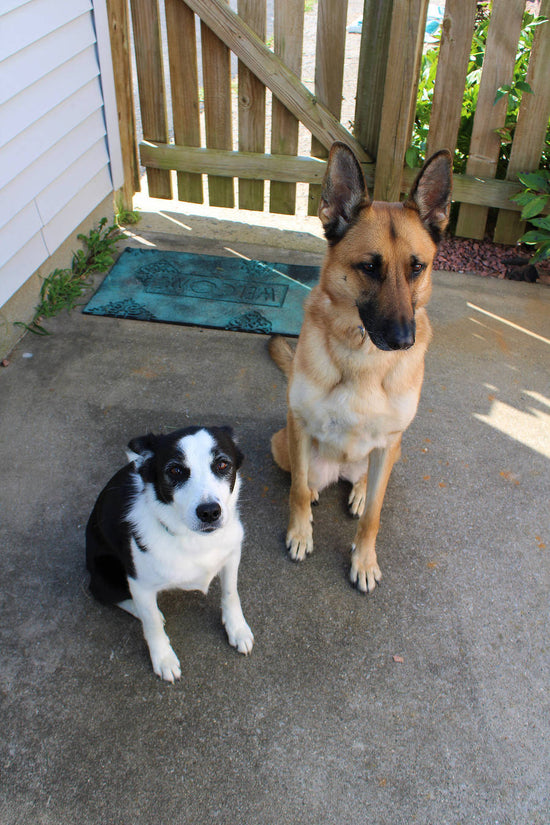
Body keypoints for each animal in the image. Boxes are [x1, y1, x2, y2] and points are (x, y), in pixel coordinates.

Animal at [86, 424, 254, 684]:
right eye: (175, 470)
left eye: (222, 464)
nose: (209, 512)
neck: (194, 540)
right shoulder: (140, 584)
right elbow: (153, 624)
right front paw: (163, 658)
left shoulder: (231, 554)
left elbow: (230, 593)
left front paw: (237, 629)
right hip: (106, 575)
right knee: (104, 594)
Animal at [268, 140, 452, 592]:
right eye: (369, 267)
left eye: (417, 267)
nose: (404, 341)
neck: (363, 360)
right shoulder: (298, 425)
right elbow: (297, 491)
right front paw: (300, 533)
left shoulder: (388, 444)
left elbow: (373, 516)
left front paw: (364, 561)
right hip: (282, 442)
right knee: (304, 479)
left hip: (393, 451)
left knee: (367, 482)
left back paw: (359, 489)